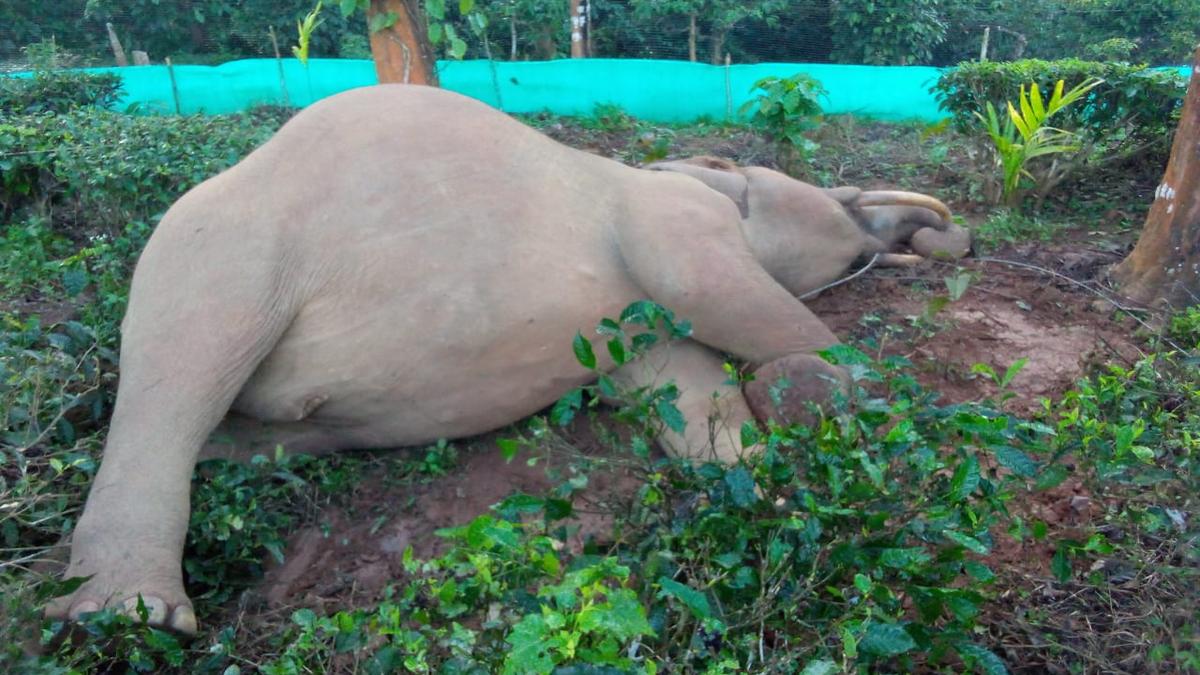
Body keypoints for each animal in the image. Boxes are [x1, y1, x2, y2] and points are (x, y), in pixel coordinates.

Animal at [45, 84, 969, 635]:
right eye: (841, 210)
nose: (937, 238)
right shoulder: (671, 218)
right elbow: (715, 290)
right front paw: (827, 391)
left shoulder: (643, 327)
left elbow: (684, 391)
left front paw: (772, 490)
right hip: (218, 253)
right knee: (177, 373)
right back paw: (129, 616)